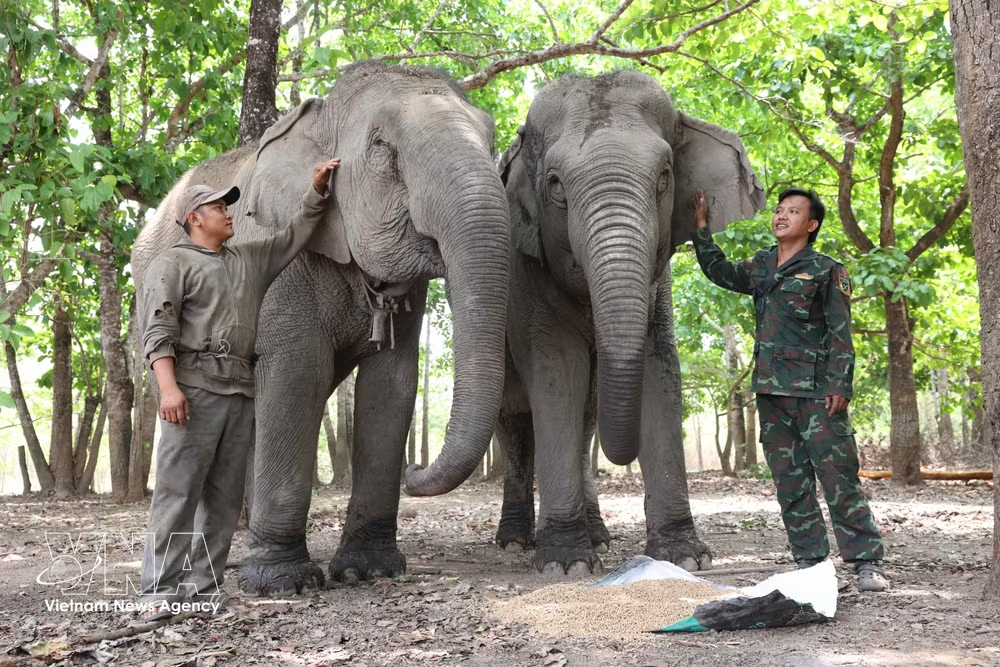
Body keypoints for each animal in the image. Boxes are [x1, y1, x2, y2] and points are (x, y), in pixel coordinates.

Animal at [132, 62, 511, 595]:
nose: (416, 468)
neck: (320, 119)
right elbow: (297, 374)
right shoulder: (279, 263)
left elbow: (391, 383)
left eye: (493, 138)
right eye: (382, 147)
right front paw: (283, 583)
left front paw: (368, 570)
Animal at [490, 71, 765, 574]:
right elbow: (557, 372)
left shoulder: (659, 289)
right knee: (514, 421)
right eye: (555, 184)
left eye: (665, 176)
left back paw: (598, 538)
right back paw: (516, 542)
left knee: (586, 423)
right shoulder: (525, 277)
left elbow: (660, 370)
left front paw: (684, 557)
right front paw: (565, 564)